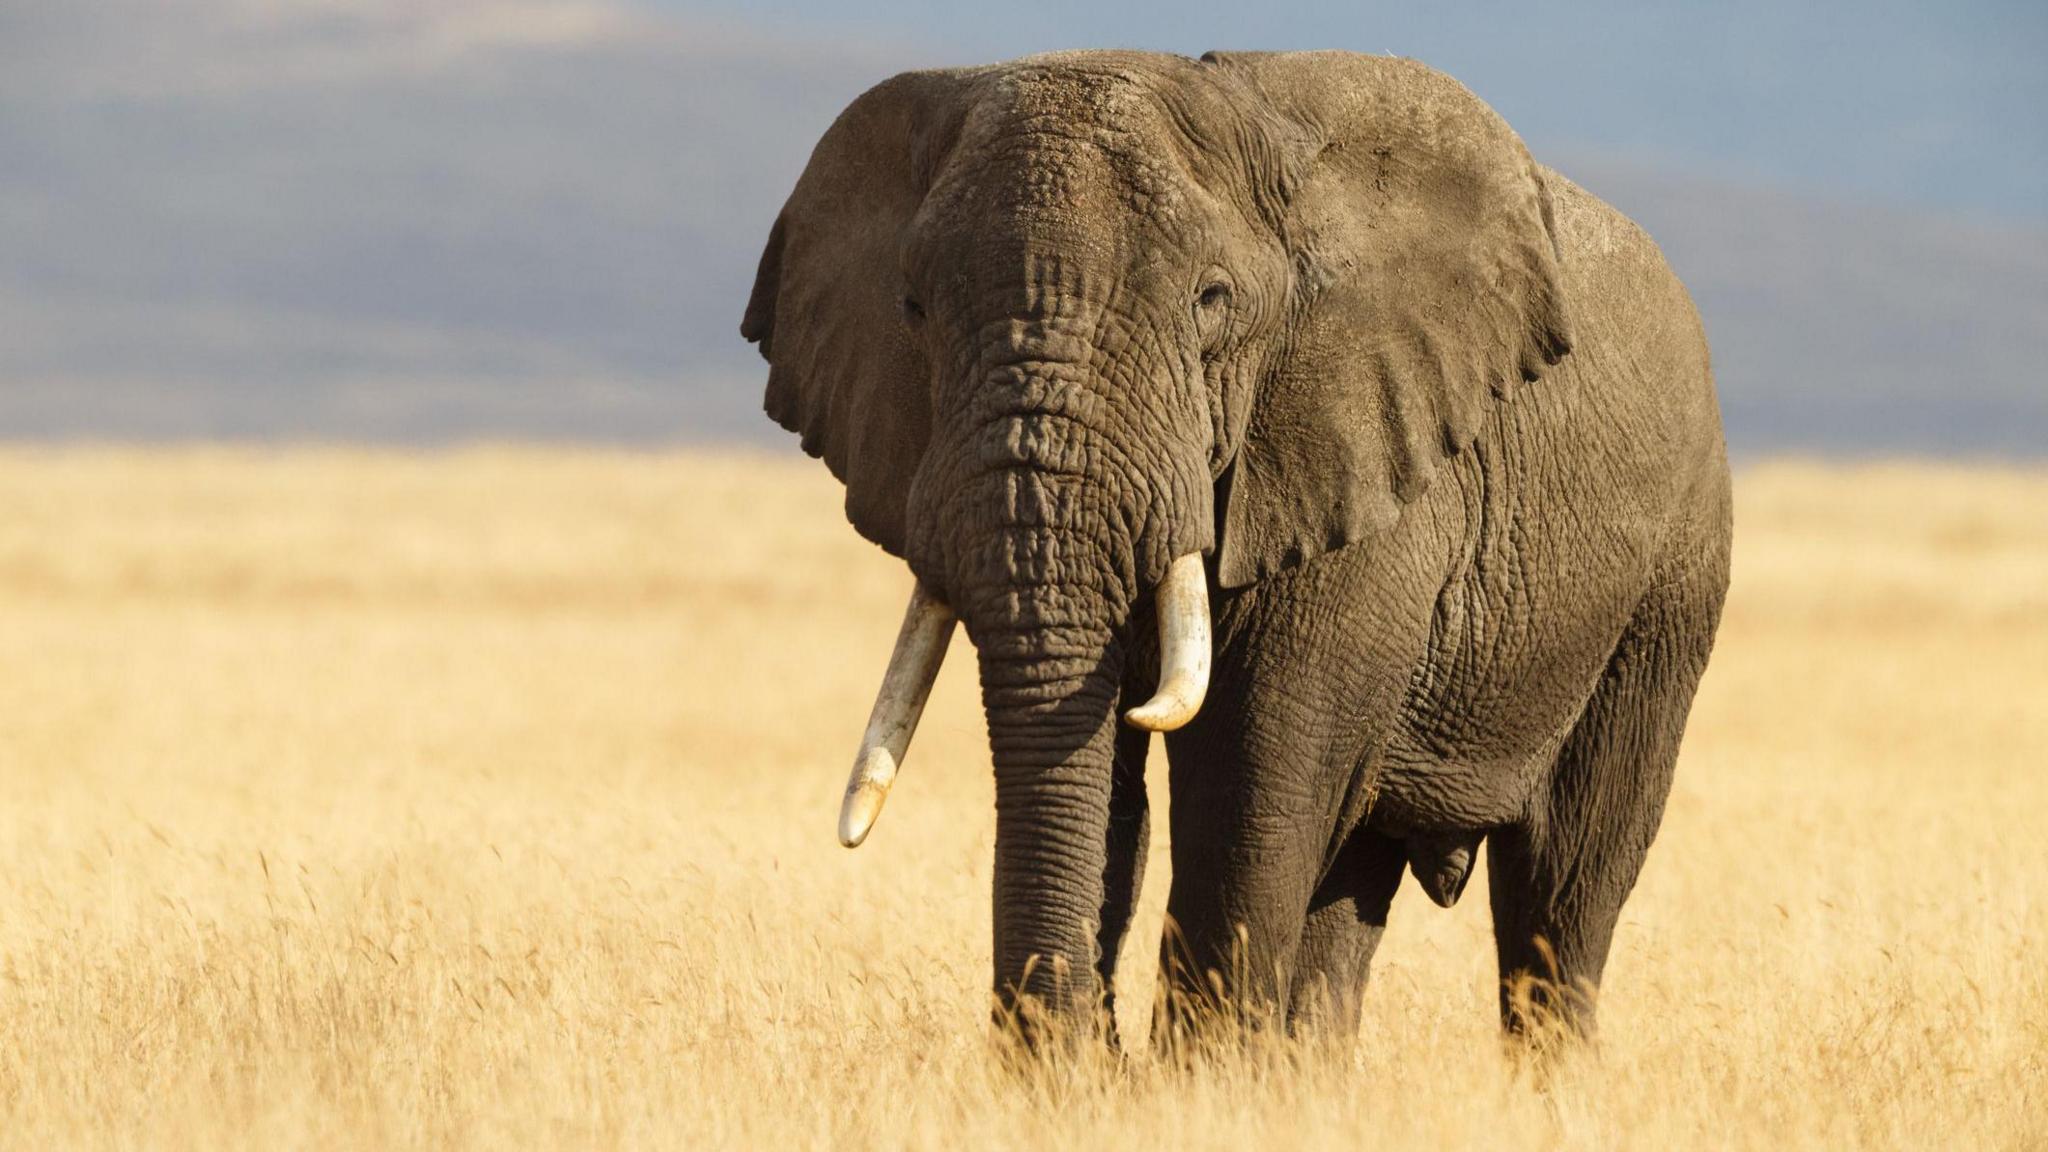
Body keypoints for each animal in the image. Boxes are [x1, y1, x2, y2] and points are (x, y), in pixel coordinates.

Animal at [741, 49, 1731, 1048]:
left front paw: (1201, 1075)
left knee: (1564, 884)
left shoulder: (1361, 461)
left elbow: (1253, 778)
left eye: (1211, 301)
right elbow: (1109, 779)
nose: (1080, 1051)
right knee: (1356, 888)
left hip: (1670, 589)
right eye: (911, 307)